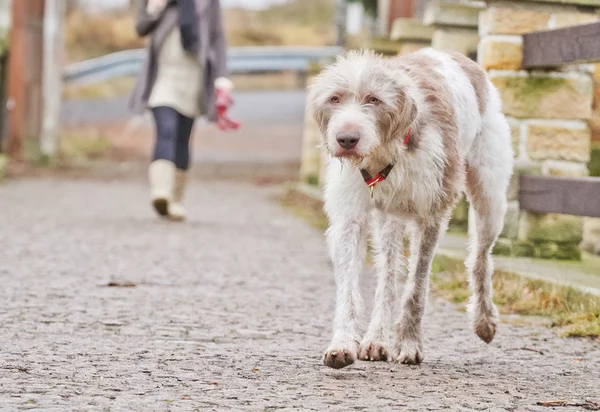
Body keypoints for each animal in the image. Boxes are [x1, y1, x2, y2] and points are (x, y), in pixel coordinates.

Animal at [308, 49, 512, 370]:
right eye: (335, 98)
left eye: (374, 99)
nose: (346, 139)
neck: (385, 153)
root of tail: (456, 55)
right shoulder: (350, 216)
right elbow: (349, 287)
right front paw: (343, 343)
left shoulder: (432, 213)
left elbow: (417, 284)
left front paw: (408, 343)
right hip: (389, 216)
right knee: (388, 275)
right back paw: (377, 338)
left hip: (489, 197)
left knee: (480, 257)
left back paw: (484, 320)